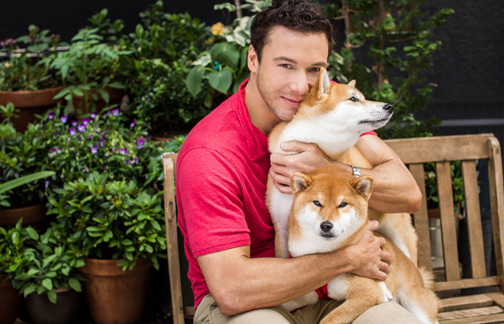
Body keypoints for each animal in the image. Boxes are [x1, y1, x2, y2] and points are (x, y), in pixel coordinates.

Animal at [282, 167, 440, 324]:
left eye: (342, 204)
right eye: (317, 202)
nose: (326, 225)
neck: (322, 250)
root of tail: (419, 276)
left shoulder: (368, 293)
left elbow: (329, 319)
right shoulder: (305, 295)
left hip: (417, 306)